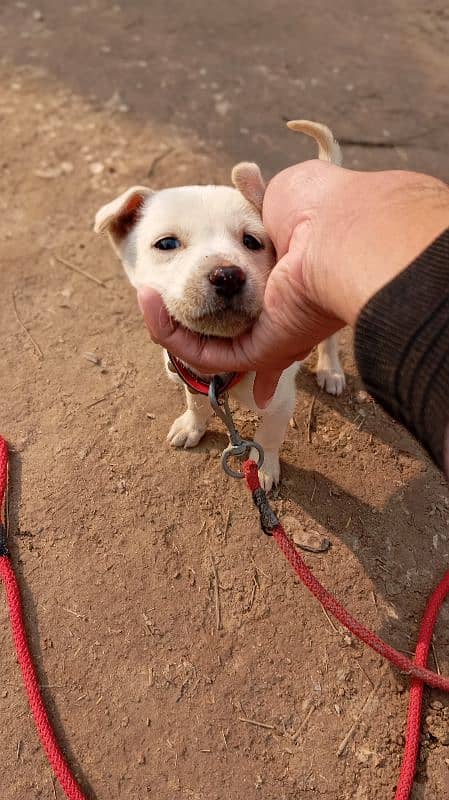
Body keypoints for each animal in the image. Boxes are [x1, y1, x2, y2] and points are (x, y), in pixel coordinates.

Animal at [96, 121, 344, 490]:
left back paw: (331, 370)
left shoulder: (280, 402)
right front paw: (192, 427)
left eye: (252, 241)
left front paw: (264, 468)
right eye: (166, 244)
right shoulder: (191, 377)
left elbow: (269, 437)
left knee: (329, 338)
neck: (222, 375)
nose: (227, 276)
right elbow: (198, 405)